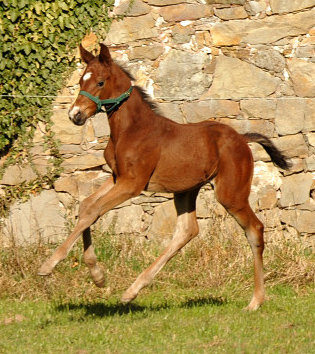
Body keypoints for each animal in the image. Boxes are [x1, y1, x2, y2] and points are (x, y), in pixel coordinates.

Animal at [39, 43, 292, 310]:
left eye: (100, 82)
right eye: (80, 80)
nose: (75, 115)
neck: (131, 129)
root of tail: (243, 139)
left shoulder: (132, 183)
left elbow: (93, 211)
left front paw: (49, 265)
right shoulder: (118, 177)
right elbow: (86, 206)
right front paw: (98, 276)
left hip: (230, 194)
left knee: (254, 228)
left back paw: (255, 301)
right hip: (186, 190)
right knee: (187, 231)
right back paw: (132, 290)